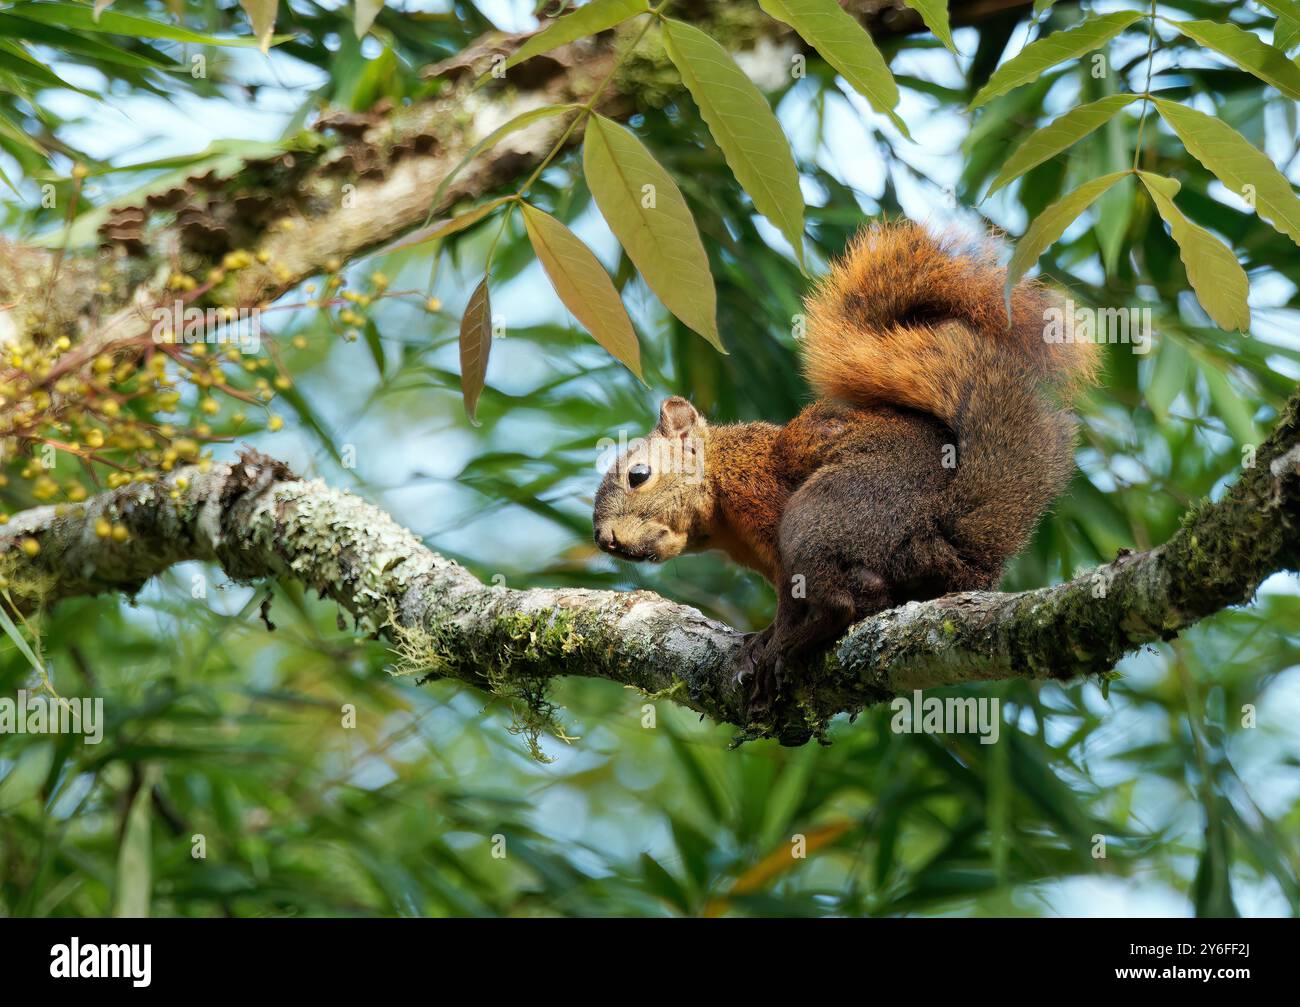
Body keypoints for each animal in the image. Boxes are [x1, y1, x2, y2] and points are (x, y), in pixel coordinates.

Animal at [592, 221, 1099, 713]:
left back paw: (794, 645)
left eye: (638, 475)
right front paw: (760, 638)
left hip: (825, 511)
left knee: (839, 603)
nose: (605, 540)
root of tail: (949, 539)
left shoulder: (760, 497)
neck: (722, 486)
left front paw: (771, 641)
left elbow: (790, 600)